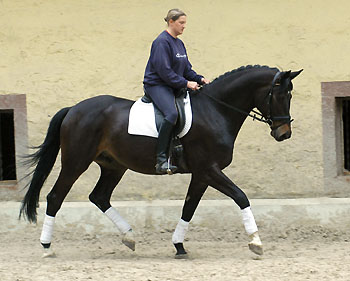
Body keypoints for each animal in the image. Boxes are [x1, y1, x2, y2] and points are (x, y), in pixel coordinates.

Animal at [20, 64, 302, 258]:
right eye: (280, 95)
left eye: (290, 95)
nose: (284, 133)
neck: (216, 110)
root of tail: (74, 109)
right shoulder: (209, 170)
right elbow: (241, 196)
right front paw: (256, 242)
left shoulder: (202, 174)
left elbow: (189, 208)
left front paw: (179, 245)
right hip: (76, 162)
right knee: (55, 197)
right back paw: (46, 247)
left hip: (114, 166)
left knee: (99, 196)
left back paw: (129, 237)